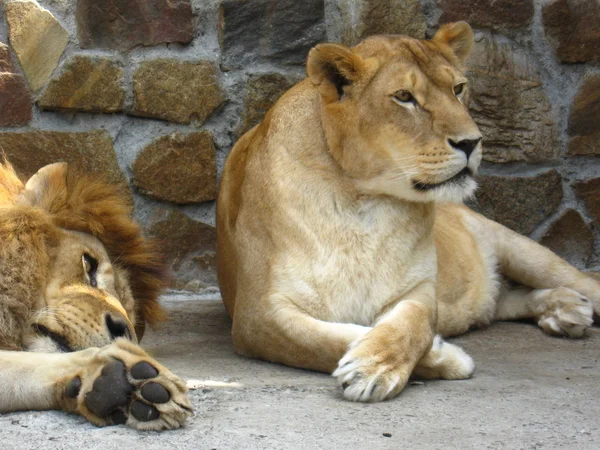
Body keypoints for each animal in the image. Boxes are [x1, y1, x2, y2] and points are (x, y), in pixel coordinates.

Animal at [219, 21, 600, 402]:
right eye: (404, 97)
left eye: (458, 88)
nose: (471, 143)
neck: (361, 198)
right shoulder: (257, 316)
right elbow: (320, 340)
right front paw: (445, 356)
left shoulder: (419, 288)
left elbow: (412, 326)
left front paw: (374, 367)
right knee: (502, 301)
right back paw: (565, 309)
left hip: (523, 251)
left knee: (582, 283)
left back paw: (571, 304)